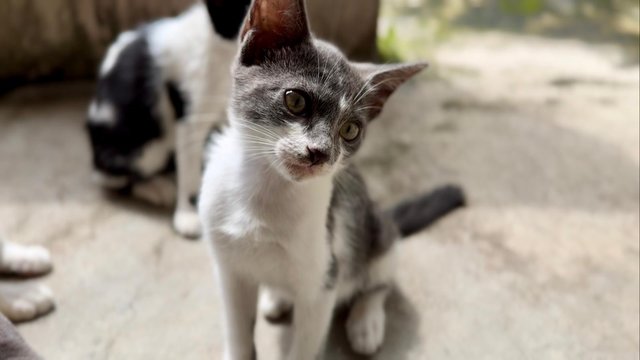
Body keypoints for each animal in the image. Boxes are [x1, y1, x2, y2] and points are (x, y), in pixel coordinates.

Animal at [198, 0, 462, 360]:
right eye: (295, 100)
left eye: (350, 130)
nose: (319, 152)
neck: (265, 193)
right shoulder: (229, 272)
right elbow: (238, 333)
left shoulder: (323, 280)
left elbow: (306, 346)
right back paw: (277, 298)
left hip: (377, 232)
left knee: (378, 281)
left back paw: (366, 322)